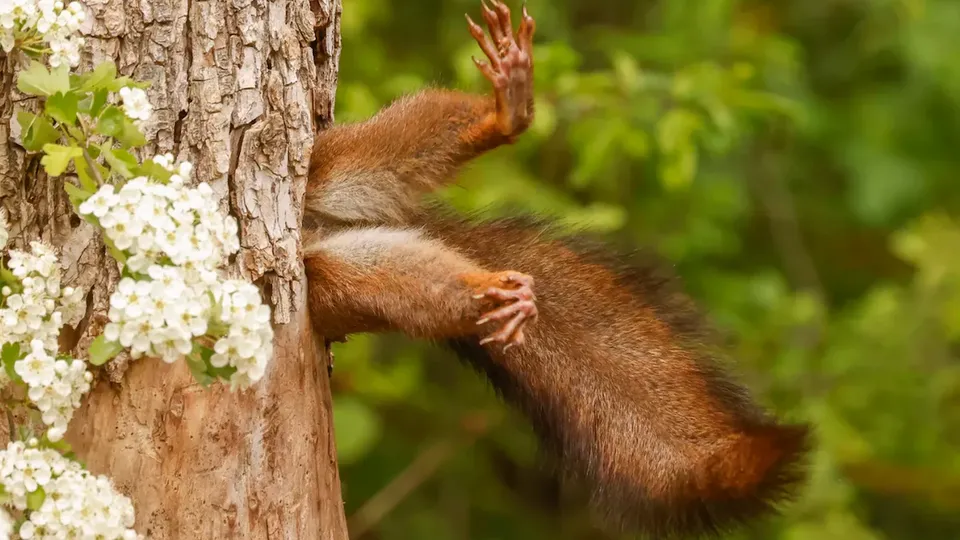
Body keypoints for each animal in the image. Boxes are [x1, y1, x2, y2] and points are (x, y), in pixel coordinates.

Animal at [302, 2, 808, 536]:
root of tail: (317, 228)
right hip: (334, 280)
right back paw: (494, 293)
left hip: (328, 165)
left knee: (385, 148)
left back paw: (505, 113)